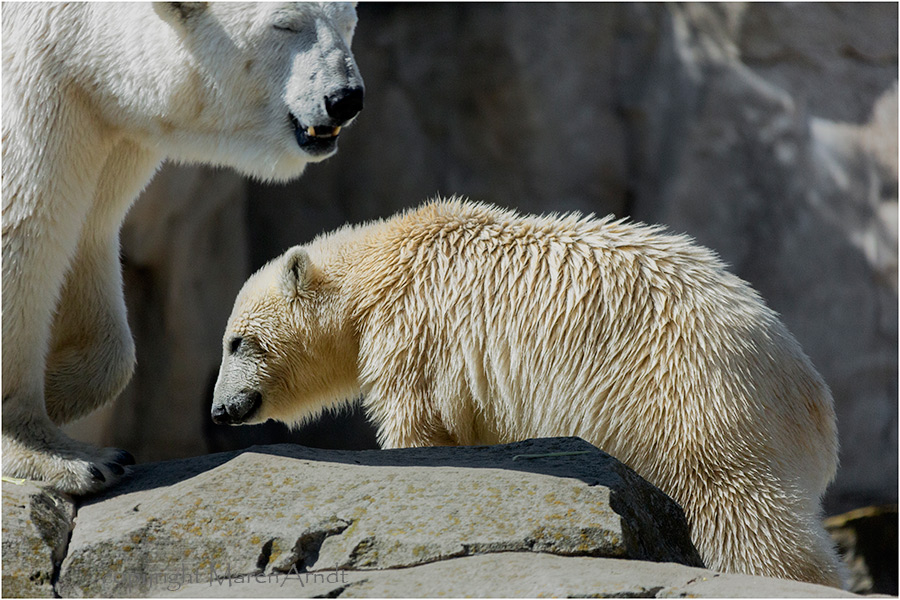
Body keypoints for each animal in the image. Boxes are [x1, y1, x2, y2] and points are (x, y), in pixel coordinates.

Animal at [1, 2, 366, 494]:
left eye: (349, 21)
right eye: (284, 24)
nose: (345, 98)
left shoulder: (104, 127)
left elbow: (88, 232)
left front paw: (62, 397)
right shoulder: (37, 92)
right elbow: (25, 229)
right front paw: (72, 457)